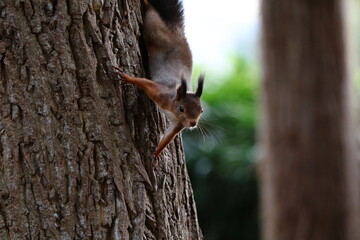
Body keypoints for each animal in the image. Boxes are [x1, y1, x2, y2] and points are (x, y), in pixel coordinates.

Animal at [114, 0, 204, 158]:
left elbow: (168, 137)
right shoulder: (162, 95)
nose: (193, 123)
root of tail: (175, 30)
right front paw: (128, 77)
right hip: (154, 31)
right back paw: (146, 4)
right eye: (182, 108)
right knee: (152, 15)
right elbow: (145, 83)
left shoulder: (178, 124)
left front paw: (156, 152)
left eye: (201, 111)